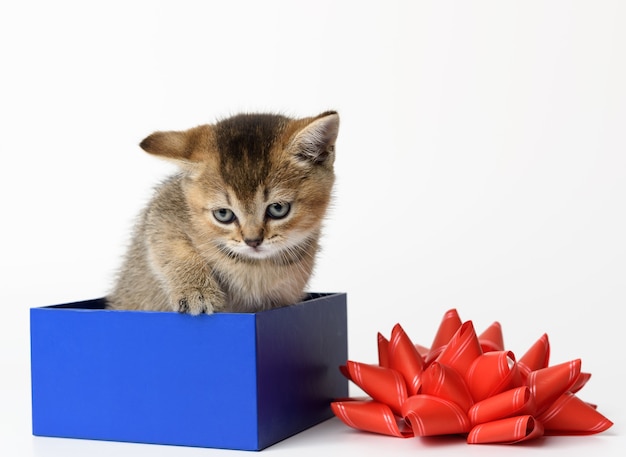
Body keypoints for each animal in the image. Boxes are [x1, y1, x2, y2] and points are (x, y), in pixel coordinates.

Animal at [108, 110, 342, 314]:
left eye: (278, 209)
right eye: (223, 214)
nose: (253, 241)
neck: (255, 266)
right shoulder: (163, 211)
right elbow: (172, 248)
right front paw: (196, 291)